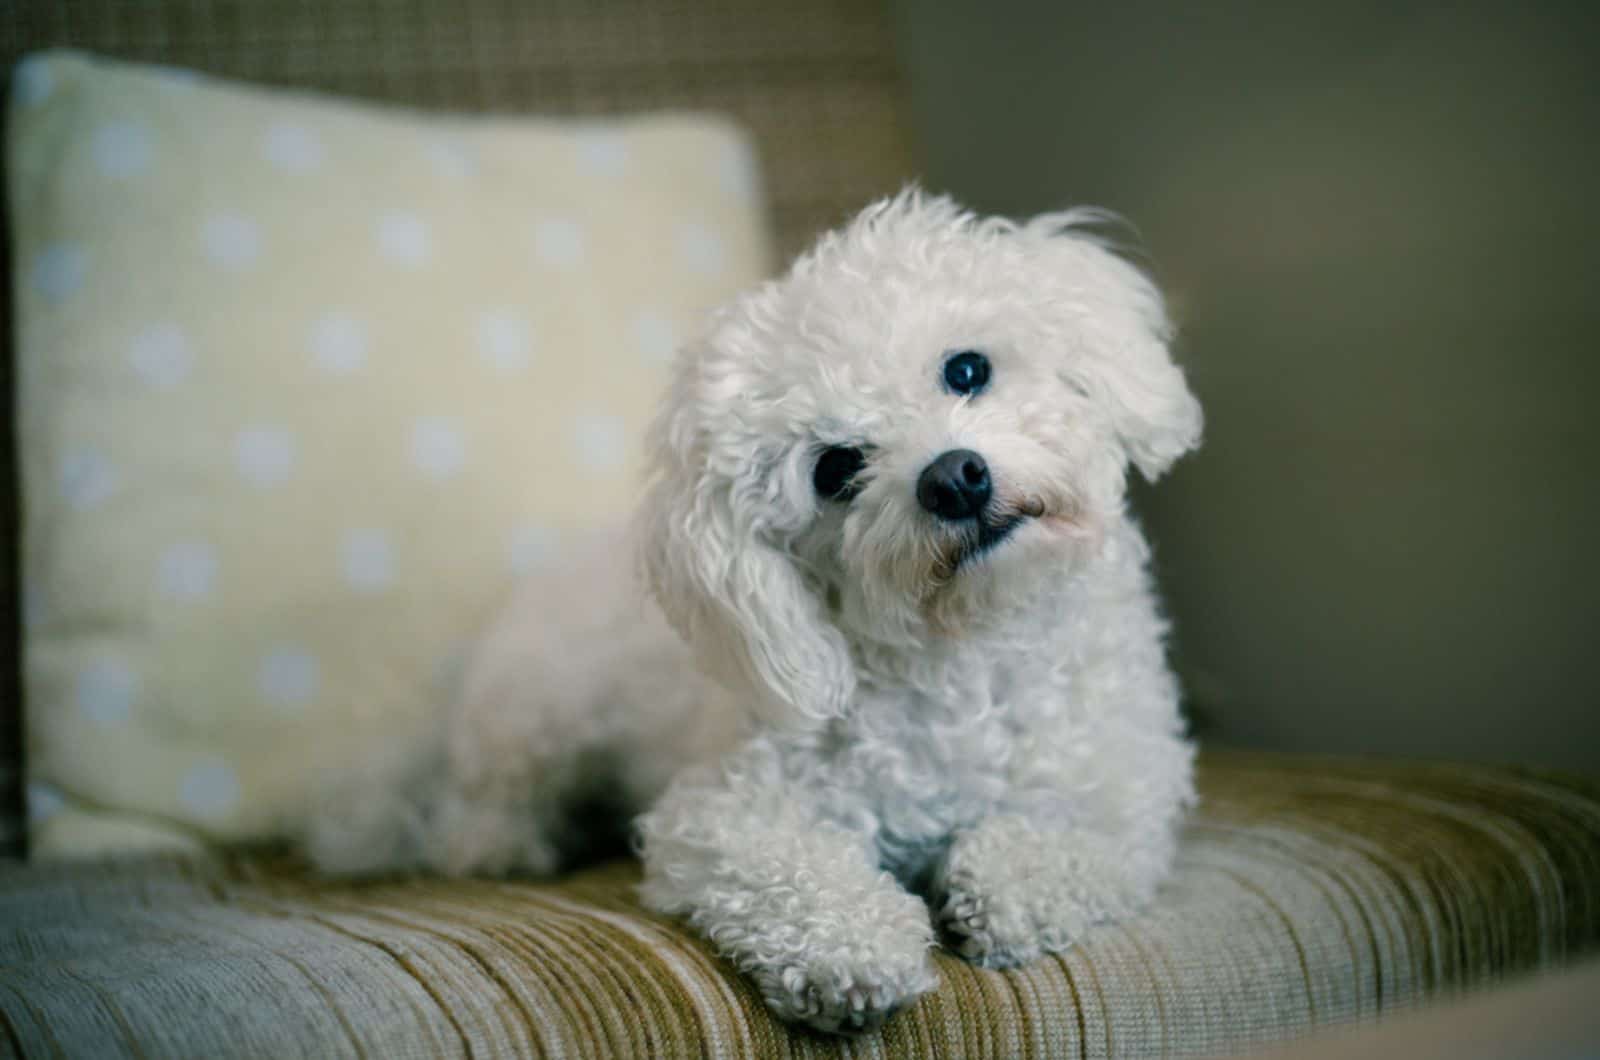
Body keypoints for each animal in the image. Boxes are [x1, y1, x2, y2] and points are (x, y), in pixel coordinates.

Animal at [302, 191, 1203, 1037]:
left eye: (968, 369)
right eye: (835, 469)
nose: (953, 478)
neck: (964, 657)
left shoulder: (1124, 793)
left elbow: (1051, 850)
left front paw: (1000, 889)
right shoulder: (724, 811)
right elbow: (795, 873)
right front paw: (854, 946)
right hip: (532, 715)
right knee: (475, 809)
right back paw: (507, 842)